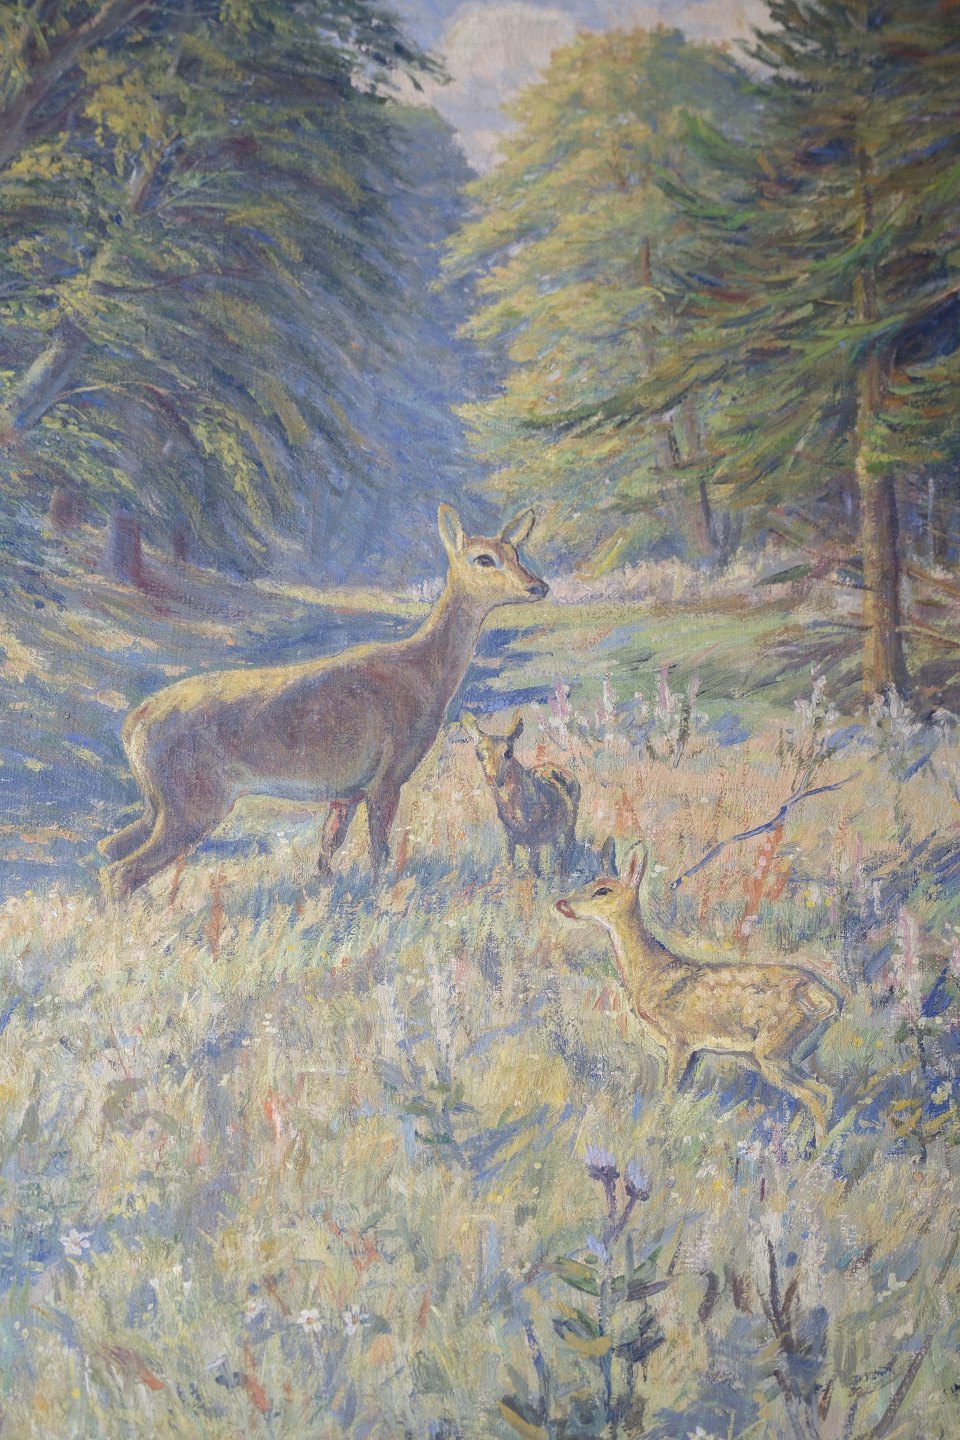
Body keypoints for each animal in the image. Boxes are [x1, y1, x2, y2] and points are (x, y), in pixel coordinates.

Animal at [98, 505, 548, 900]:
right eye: (483, 559)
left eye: (517, 553)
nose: (538, 586)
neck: (422, 674)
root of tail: (132, 724)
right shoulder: (388, 774)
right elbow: (379, 851)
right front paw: (379, 899)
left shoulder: (345, 791)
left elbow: (328, 850)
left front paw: (327, 896)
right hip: (193, 798)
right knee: (121, 871)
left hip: (162, 802)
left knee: (107, 849)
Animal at [459, 710, 580, 875]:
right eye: (478, 754)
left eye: (508, 752)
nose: (493, 779)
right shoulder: (508, 837)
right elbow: (509, 867)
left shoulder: (534, 842)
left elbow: (532, 872)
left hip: (569, 827)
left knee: (566, 851)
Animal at [555, 842, 840, 1143]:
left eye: (602, 890)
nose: (562, 904)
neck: (651, 973)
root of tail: (827, 998)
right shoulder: (693, 1049)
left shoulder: (678, 1039)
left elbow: (667, 1096)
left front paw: (650, 1135)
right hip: (778, 1053)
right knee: (825, 1092)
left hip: (773, 1047)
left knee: (815, 1096)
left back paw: (815, 1148)